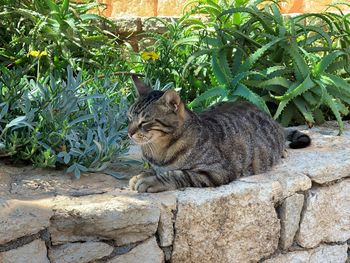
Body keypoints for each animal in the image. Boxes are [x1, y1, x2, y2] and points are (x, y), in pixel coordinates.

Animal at [127, 76, 310, 194]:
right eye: (129, 118)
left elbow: (177, 174)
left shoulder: (215, 172)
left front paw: (151, 180)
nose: (129, 133)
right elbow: (155, 170)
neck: (159, 150)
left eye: (144, 122)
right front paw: (143, 175)